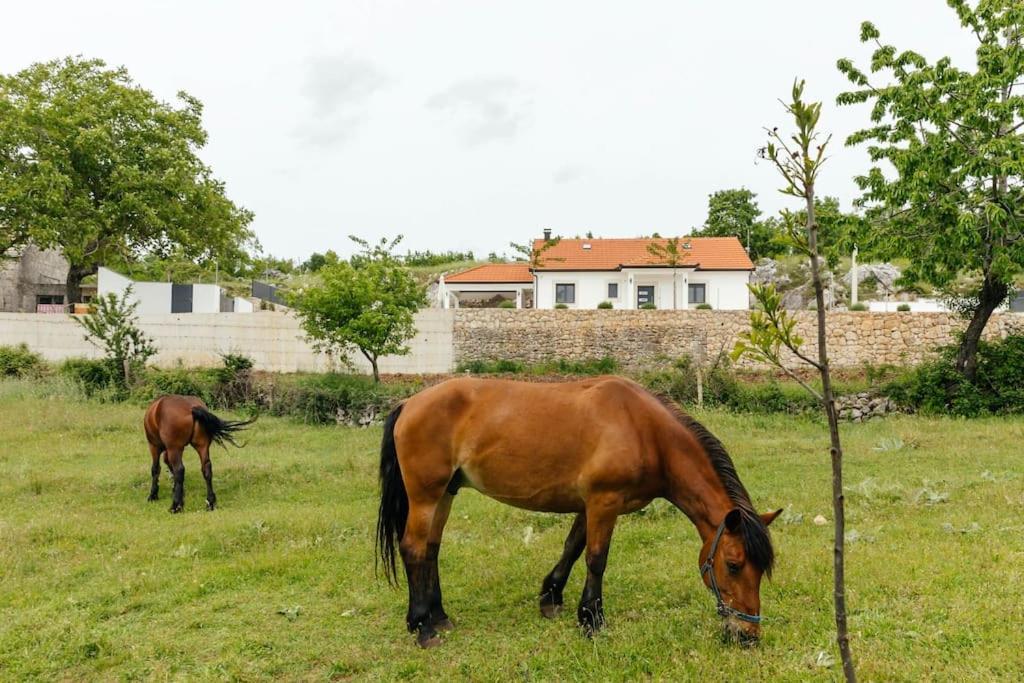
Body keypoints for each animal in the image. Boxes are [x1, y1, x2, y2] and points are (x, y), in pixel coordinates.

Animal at [376, 376, 782, 651]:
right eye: (733, 565)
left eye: (761, 570)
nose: (749, 634)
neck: (643, 429)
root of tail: (409, 403)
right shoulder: (604, 501)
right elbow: (596, 559)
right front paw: (591, 619)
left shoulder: (590, 505)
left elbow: (572, 547)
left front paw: (551, 597)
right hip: (426, 495)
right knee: (413, 549)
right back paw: (422, 627)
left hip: (446, 493)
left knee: (431, 550)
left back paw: (440, 617)